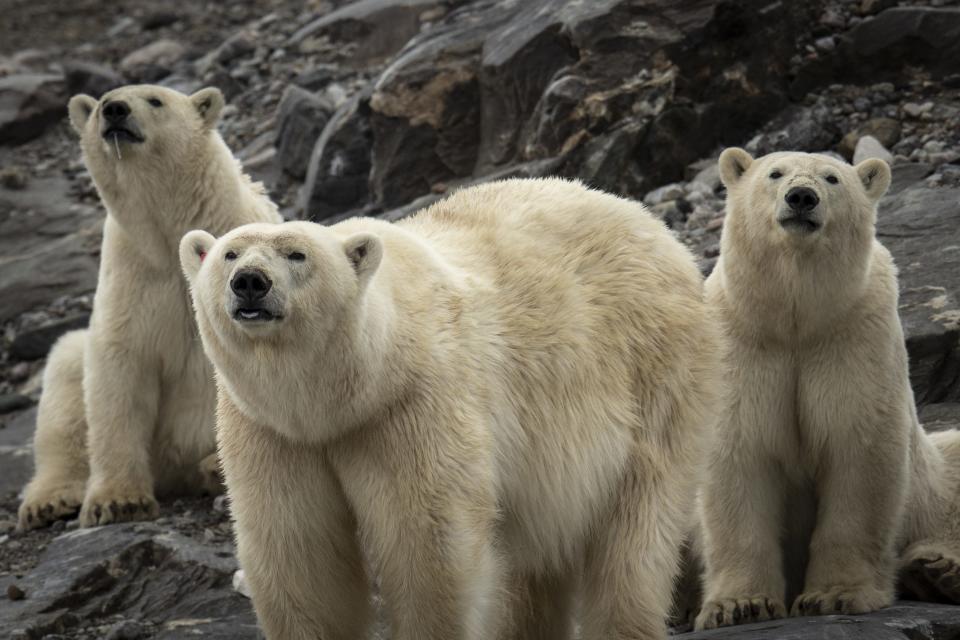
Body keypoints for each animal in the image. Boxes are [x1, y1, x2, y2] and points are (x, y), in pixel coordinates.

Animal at [16, 84, 280, 528]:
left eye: (155, 100)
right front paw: (117, 501)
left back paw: (212, 468)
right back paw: (49, 500)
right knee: (64, 391)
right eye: (102, 104)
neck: (173, 231)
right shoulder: (134, 277)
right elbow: (118, 371)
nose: (114, 110)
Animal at [692, 146, 960, 632]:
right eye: (775, 173)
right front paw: (738, 605)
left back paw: (939, 571)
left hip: (940, 484)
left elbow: (857, 455)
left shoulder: (853, 337)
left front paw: (833, 595)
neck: (796, 321)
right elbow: (739, 461)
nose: (801, 197)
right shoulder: (742, 344)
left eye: (833, 178)